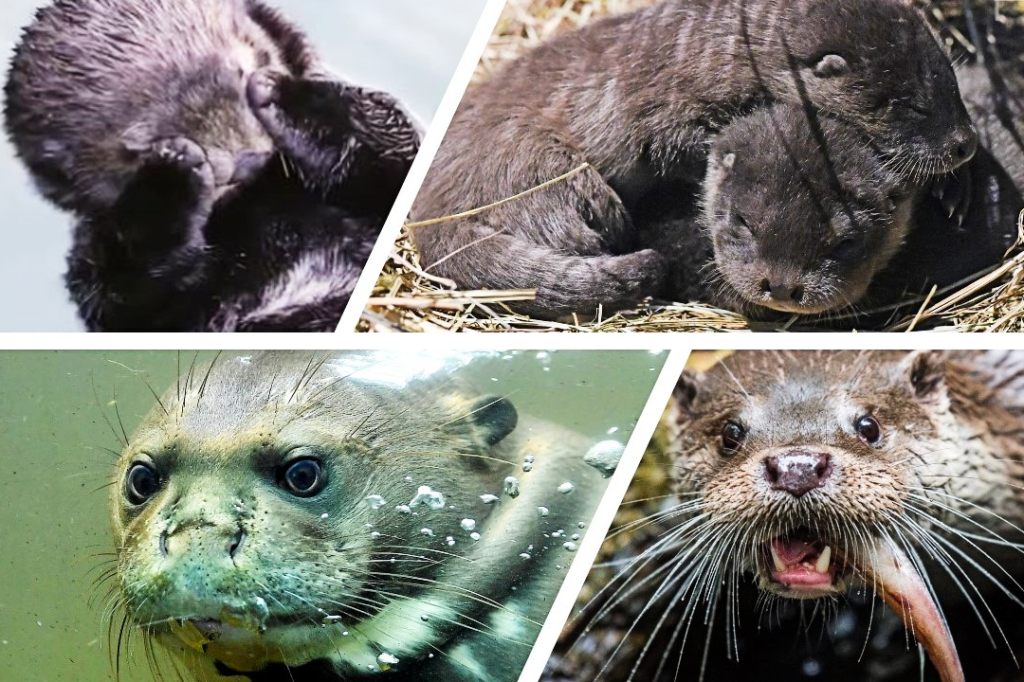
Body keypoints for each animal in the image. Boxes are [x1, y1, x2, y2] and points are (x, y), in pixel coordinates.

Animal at [5, 0, 420, 331]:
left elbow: (394, 141)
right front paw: (172, 175)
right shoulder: (105, 279)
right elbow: (123, 294)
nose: (248, 161)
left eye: (244, 64)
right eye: (141, 142)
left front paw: (282, 95)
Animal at [409, 0, 976, 319]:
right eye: (909, 104)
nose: (965, 143)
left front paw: (957, 187)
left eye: (950, 81)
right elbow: (682, 148)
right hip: (537, 167)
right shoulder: (663, 112)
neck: (720, 51)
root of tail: (434, 215)